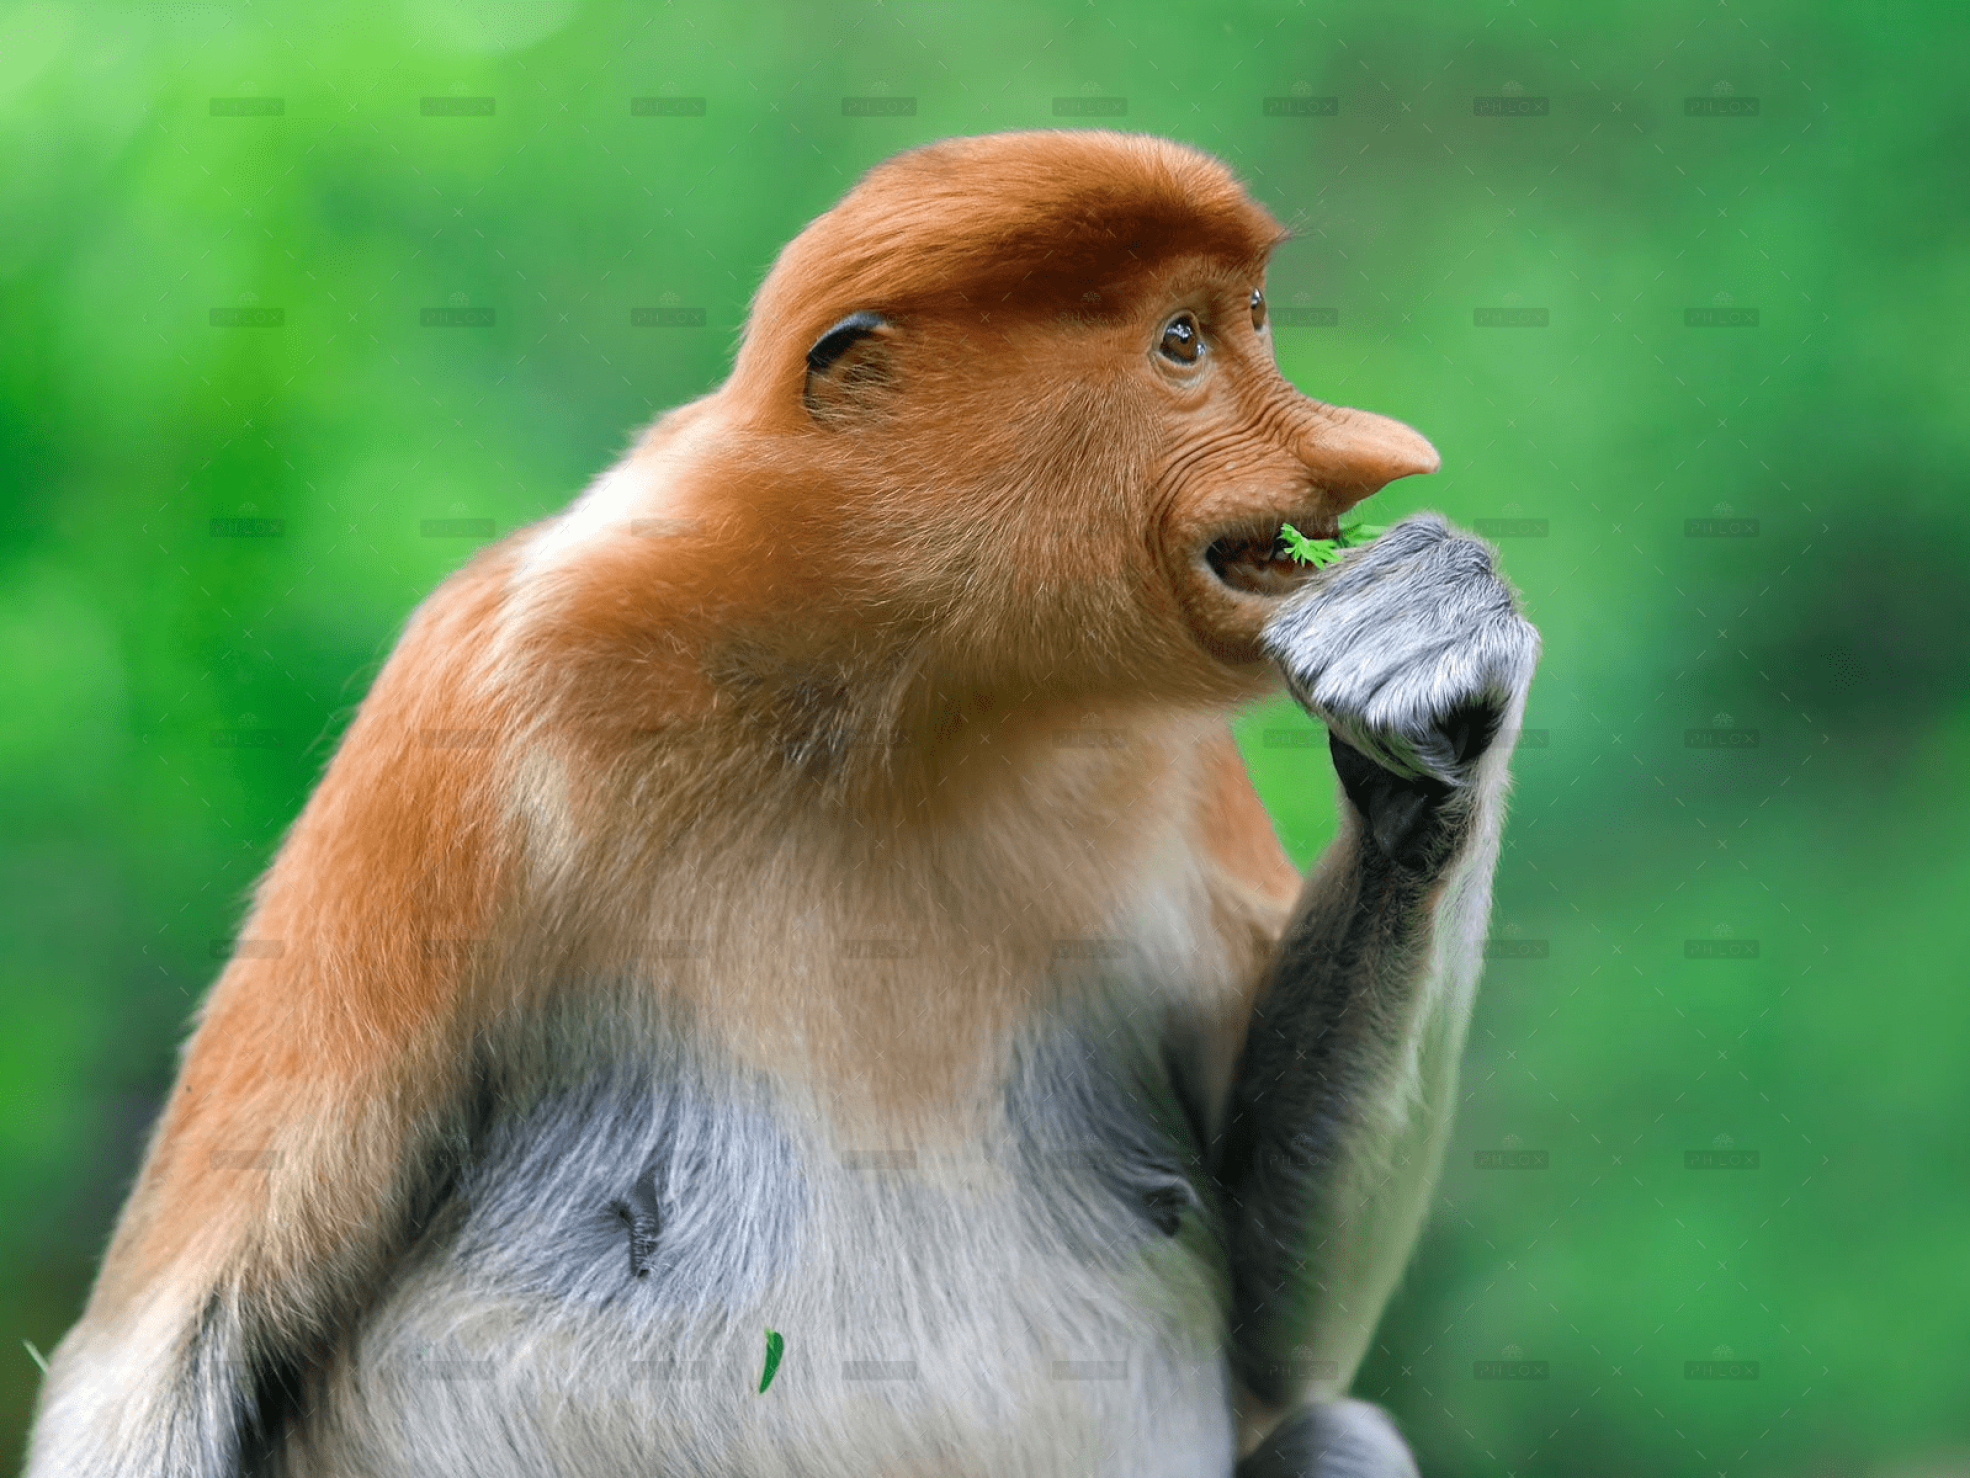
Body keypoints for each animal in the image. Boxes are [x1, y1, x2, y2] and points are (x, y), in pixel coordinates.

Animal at [25, 129, 1538, 1477]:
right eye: (1181, 342)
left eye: (1253, 319)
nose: (1373, 454)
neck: (894, 696)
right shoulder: (473, 708)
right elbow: (170, 1345)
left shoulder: (1169, 763)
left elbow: (1287, 1331)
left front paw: (1429, 662)